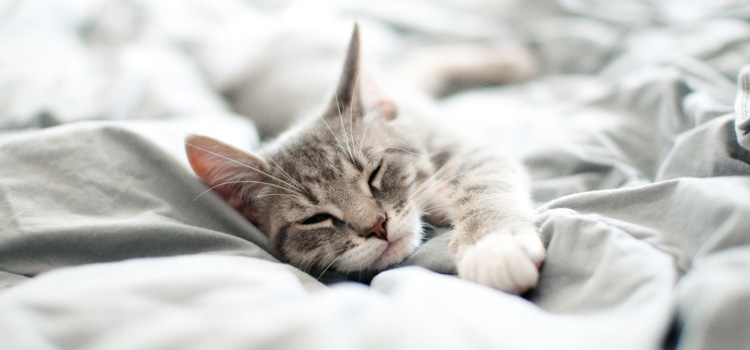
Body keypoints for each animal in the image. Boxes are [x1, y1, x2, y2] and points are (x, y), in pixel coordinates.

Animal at [184, 24, 548, 294]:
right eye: (315, 219)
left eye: (375, 173)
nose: (376, 227)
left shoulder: (467, 146)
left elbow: (485, 186)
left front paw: (494, 247)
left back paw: (509, 61)